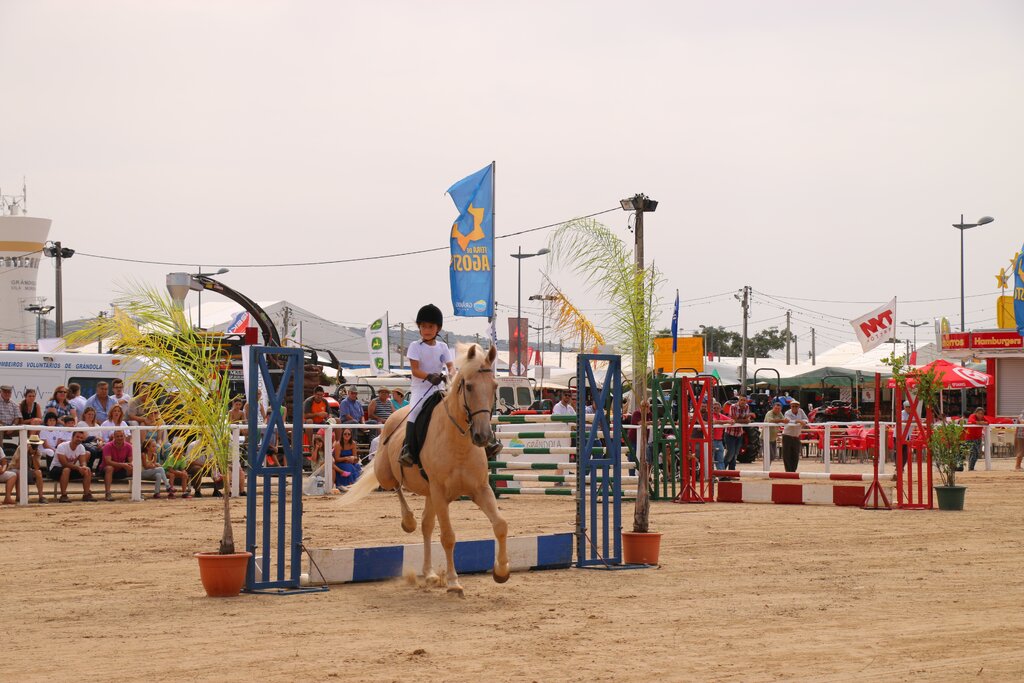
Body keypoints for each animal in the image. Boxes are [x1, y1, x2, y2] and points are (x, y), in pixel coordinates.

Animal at [337, 344, 509, 593]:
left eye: (494, 386)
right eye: (468, 386)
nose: (483, 436)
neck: (458, 444)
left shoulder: (480, 490)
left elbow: (500, 525)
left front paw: (501, 572)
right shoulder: (440, 493)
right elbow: (448, 536)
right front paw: (454, 582)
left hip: (430, 494)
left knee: (427, 526)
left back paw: (429, 573)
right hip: (389, 476)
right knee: (396, 488)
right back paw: (408, 521)